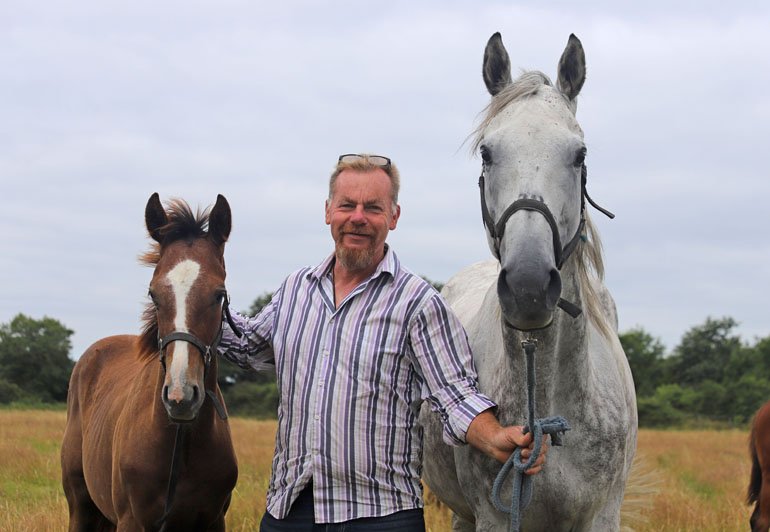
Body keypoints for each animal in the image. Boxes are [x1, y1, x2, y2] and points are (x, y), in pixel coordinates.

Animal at [61, 193, 239, 531]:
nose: (181, 397)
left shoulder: (214, 520)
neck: (180, 442)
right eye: (153, 294)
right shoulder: (132, 521)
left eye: (219, 294)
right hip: (80, 505)